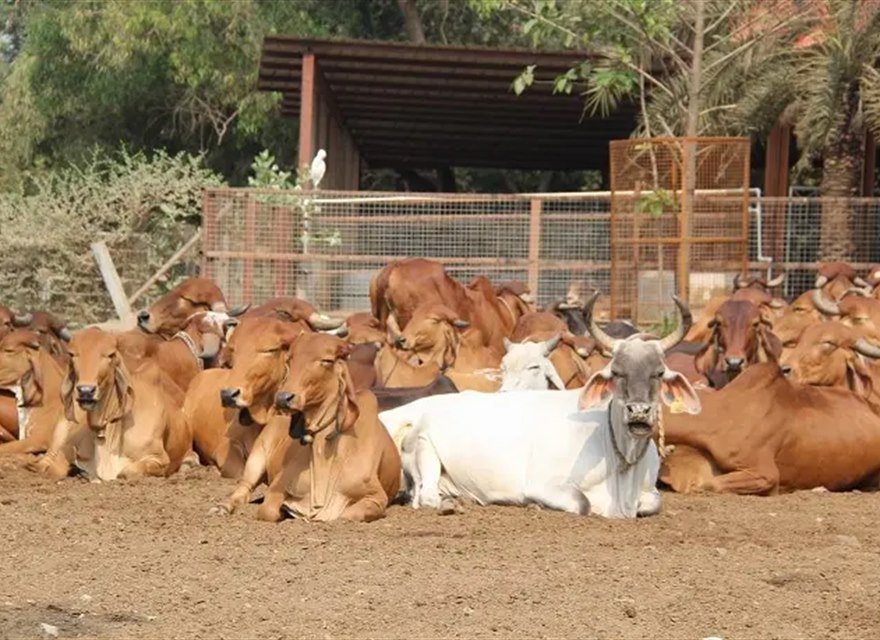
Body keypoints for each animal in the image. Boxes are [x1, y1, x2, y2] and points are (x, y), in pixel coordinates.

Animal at [35, 328, 191, 481]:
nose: (86, 391)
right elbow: (53, 469)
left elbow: (127, 472)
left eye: (110, 355)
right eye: (72, 354)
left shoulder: (158, 458)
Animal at [213, 334, 401, 522]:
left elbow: (347, 515)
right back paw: (222, 507)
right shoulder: (279, 484)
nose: (283, 398)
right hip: (257, 457)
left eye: (326, 360)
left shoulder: (376, 497)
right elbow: (268, 510)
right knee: (243, 489)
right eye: (290, 359)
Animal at [381, 293, 700, 518]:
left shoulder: (648, 493)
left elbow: (652, 503)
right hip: (426, 450)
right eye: (616, 372)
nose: (639, 412)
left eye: (659, 372)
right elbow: (583, 503)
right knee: (426, 495)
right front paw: (534, 505)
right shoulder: (545, 484)